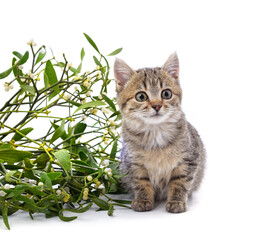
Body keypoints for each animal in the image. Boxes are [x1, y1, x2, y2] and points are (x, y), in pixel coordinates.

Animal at [113, 53, 206, 213]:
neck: (155, 135)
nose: (157, 106)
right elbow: (141, 183)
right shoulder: (134, 163)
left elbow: (180, 182)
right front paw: (143, 199)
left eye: (166, 94)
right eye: (141, 96)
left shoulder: (189, 160)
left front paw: (177, 201)